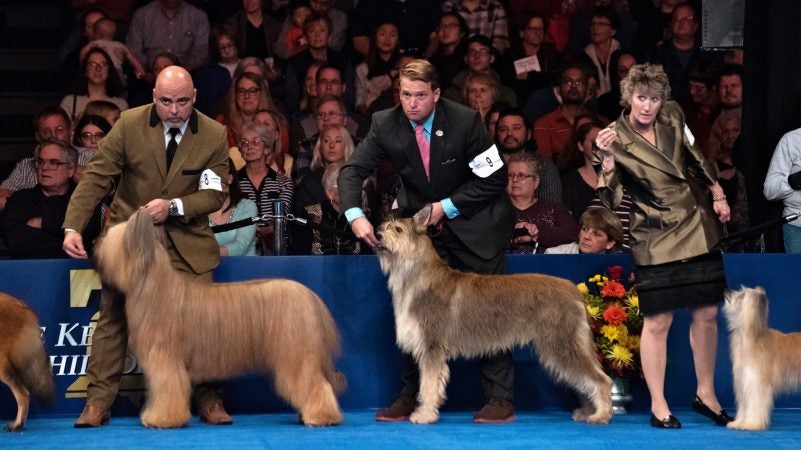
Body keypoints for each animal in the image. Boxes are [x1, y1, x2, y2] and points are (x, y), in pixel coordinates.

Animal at [94, 209, 344, 428]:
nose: (95, 244)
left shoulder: (165, 361)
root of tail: (309, 295)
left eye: (111, 238)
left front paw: (161, 419)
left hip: (296, 354)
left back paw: (321, 417)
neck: (154, 285)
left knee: (315, 384)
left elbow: (168, 390)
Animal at [376, 206, 612, 424]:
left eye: (398, 229)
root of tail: (573, 290)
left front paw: (424, 415)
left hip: (563, 343)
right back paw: (588, 411)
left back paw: (600, 414)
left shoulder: (432, 347)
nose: (377, 236)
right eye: (384, 227)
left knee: (600, 380)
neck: (416, 274)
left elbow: (428, 385)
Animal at [720, 286, 800, 430]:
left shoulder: (755, 382)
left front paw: (751, 424)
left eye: (742, 295)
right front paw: (738, 423)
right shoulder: (743, 381)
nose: (726, 290)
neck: (752, 337)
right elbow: (744, 406)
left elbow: (755, 404)